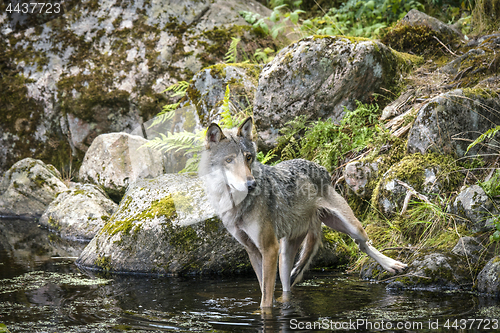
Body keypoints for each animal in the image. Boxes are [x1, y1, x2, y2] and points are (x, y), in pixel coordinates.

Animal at [199, 117, 406, 308]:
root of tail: (320, 167)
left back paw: (392, 265)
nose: (251, 184)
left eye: (248, 157)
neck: (236, 204)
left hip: (350, 227)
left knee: (362, 244)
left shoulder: (269, 248)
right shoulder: (253, 250)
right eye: (229, 160)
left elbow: (266, 300)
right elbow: (265, 292)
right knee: (287, 288)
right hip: (284, 258)